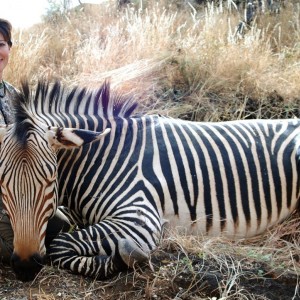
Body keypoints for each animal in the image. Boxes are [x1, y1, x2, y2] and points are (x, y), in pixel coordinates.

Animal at [0, 79, 298, 282]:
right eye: (2, 185)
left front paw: (119, 260)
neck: (100, 157)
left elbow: (59, 245)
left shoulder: (138, 217)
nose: (25, 266)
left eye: (51, 178)